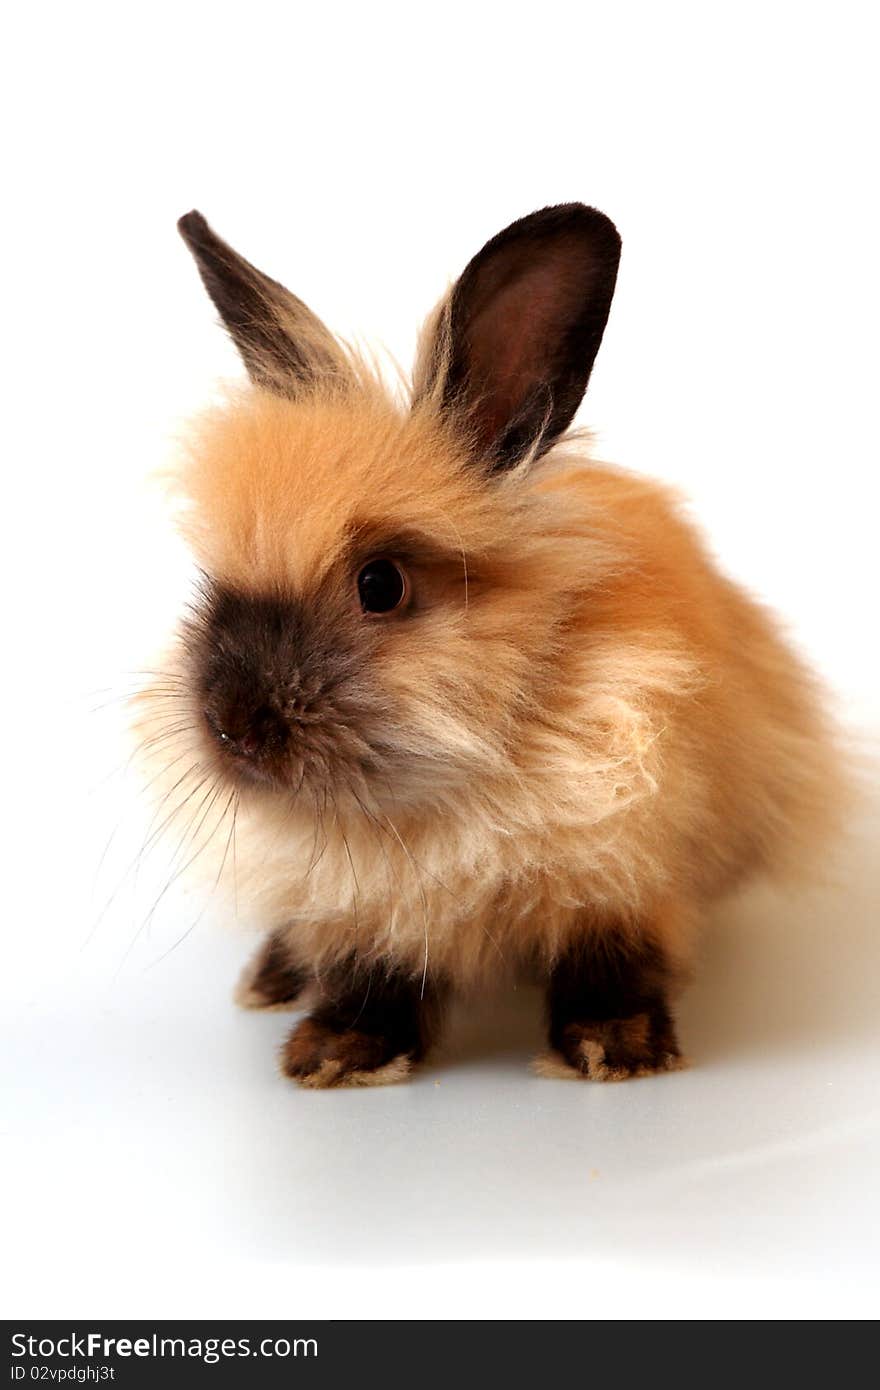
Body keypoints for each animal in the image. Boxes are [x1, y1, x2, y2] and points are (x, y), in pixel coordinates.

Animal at [145, 202, 845, 1084]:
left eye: (381, 584)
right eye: (211, 586)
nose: (231, 725)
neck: (445, 788)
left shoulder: (627, 874)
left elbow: (612, 961)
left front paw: (617, 1051)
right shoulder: (353, 904)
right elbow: (366, 970)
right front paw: (335, 1055)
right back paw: (269, 980)